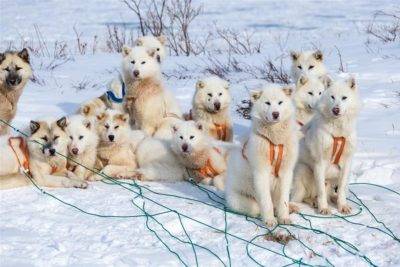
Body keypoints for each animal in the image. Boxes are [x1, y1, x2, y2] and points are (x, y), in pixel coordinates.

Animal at [225, 84, 296, 226]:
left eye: (280, 102)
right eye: (267, 103)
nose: (275, 114)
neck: (275, 142)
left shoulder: (286, 172)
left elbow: (283, 200)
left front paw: (284, 217)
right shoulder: (261, 172)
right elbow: (266, 201)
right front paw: (269, 220)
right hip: (239, 199)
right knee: (256, 207)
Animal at [290, 77, 362, 216]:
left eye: (344, 98)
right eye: (332, 97)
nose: (336, 109)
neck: (338, 133)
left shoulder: (346, 164)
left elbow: (341, 190)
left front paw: (342, 206)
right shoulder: (320, 164)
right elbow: (321, 192)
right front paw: (323, 208)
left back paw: (332, 198)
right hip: (303, 170)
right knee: (301, 198)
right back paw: (313, 202)